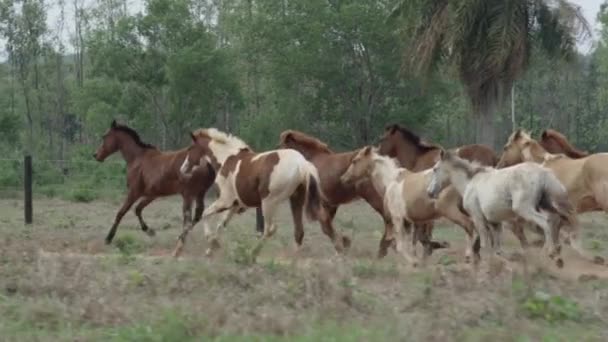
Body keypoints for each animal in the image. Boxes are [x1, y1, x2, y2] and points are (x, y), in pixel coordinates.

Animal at [173, 128, 350, 256]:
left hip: (269, 202)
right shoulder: (235, 205)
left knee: (270, 229)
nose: (183, 169)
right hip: (296, 200)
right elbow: (220, 224)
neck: (227, 159)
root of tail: (302, 164)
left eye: (190, 148)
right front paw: (212, 248)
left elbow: (206, 215)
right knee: (305, 228)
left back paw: (253, 253)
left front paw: (211, 242)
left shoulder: (225, 200)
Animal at [278, 130, 444, 258]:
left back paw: (386, 248)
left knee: (392, 220)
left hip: (376, 199)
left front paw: (342, 245)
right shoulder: (330, 203)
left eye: (282, 146)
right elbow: (326, 224)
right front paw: (344, 243)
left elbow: (323, 226)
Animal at [426, 150, 576, 268]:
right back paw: (558, 255)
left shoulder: (477, 217)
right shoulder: (495, 223)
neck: (470, 183)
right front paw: (509, 259)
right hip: (545, 205)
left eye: (435, 169)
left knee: (545, 222)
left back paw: (548, 253)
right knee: (555, 221)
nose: (429, 192)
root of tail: (543, 172)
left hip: (524, 209)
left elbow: (485, 244)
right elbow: (497, 249)